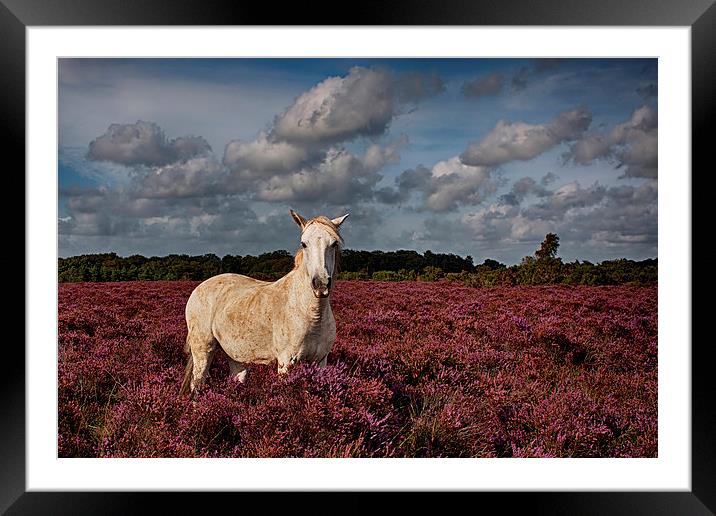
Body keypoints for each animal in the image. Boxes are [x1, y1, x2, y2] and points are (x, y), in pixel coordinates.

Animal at [178, 209, 346, 396]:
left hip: (236, 355)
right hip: (202, 349)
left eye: (334, 244)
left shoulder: (320, 361)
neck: (312, 314)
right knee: (196, 384)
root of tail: (198, 288)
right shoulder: (286, 362)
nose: (321, 284)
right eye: (304, 244)